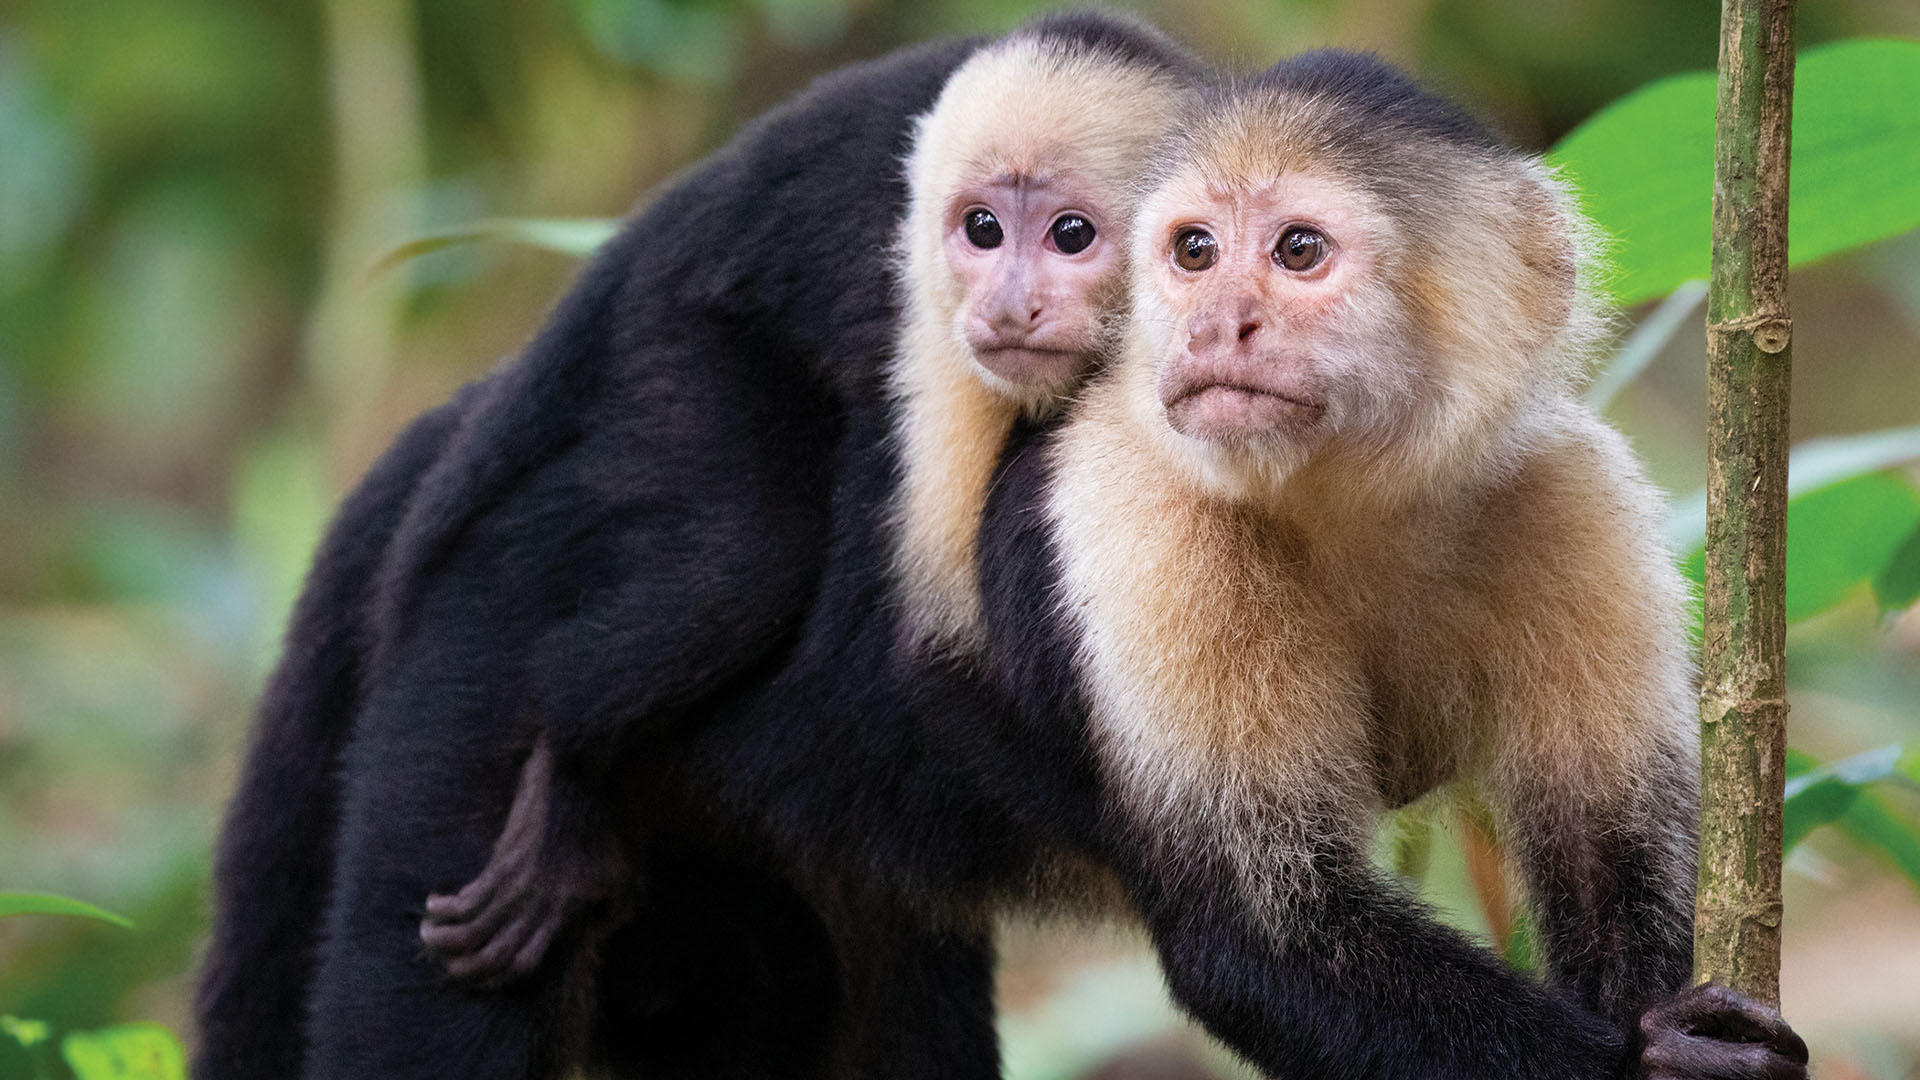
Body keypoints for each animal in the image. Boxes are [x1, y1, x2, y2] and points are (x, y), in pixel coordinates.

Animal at [967, 49, 1811, 1079]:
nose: (1213, 327)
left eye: (1297, 251)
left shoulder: (1572, 496)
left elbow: (1609, 863)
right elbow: (1267, 937)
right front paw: (1652, 1061)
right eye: (1194, 252)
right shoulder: (1142, 520)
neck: (1343, 502)